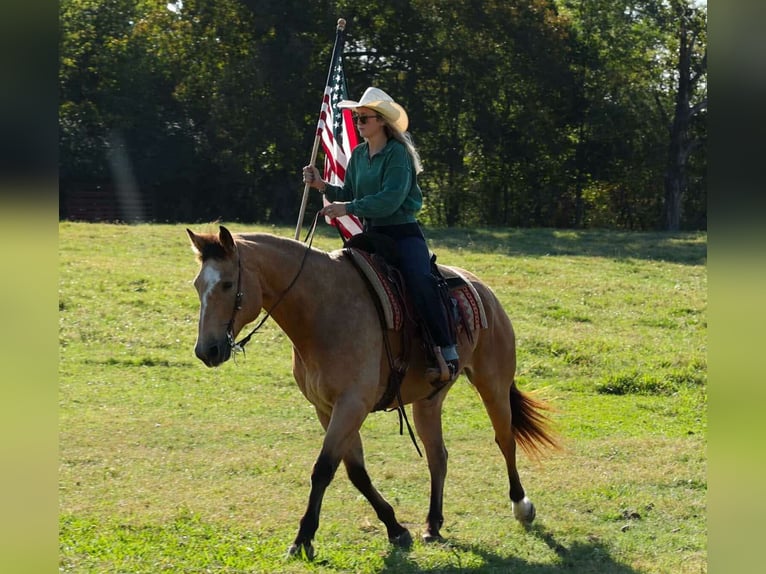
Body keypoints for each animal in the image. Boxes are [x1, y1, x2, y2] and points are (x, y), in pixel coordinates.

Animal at [186, 224, 557, 560]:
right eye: (197, 285)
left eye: (227, 284)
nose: (207, 350)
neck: (322, 309)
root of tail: (484, 291)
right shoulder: (327, 408)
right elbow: (355, 471)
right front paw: (396, 528)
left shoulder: (352, 403)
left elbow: (324, 468)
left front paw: (303, 538)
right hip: (429, 401)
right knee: (438, 455)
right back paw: (432, 524)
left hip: (493, 384)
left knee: (505, 439)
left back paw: (521, 505)